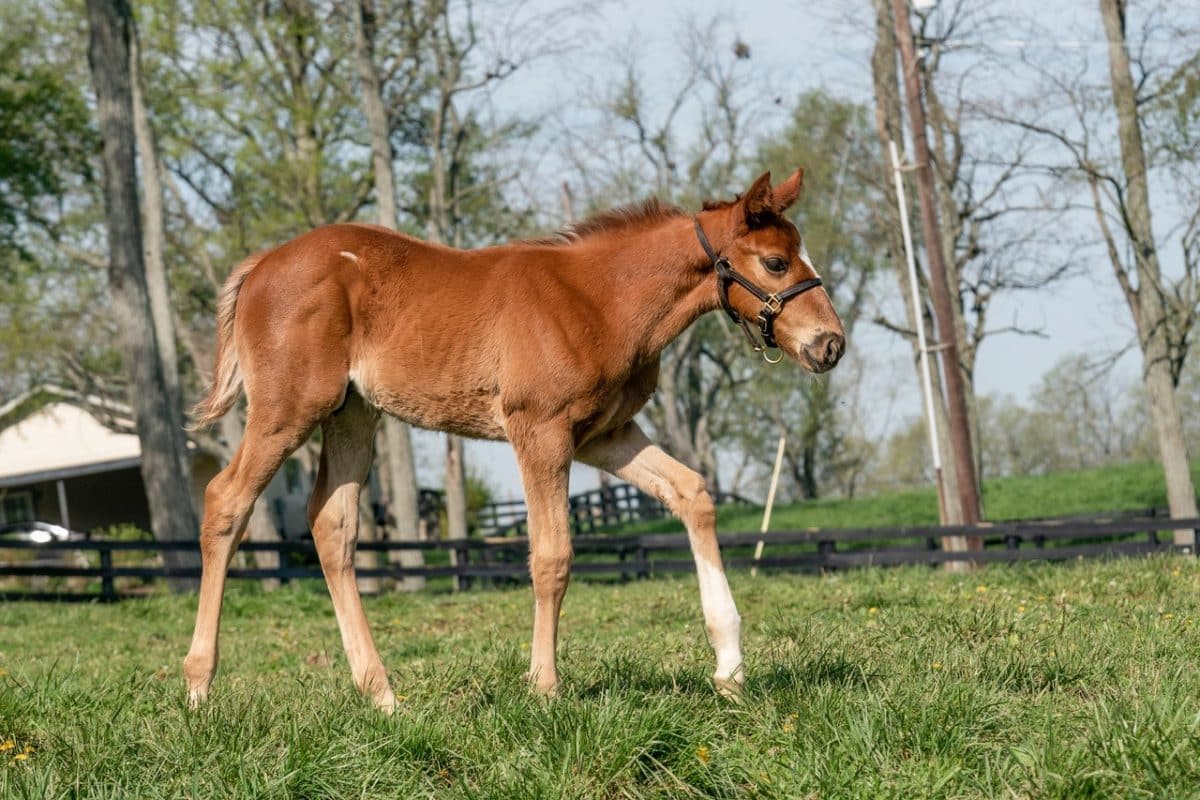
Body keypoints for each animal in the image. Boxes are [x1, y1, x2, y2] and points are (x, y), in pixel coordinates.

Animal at [184, 167, 844, 705]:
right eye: (777, 263)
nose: (831, 344)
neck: (599, 298)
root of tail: (259, 266)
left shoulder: (605, 434)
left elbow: (693, 493)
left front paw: (729, 668)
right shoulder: (540, 431)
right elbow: (552, 555)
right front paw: (545, 687)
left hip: (352, 415)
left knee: (332, 526)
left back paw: (382, 695)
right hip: (289, 410)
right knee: (225, 500)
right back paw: (198, 689)